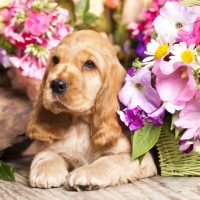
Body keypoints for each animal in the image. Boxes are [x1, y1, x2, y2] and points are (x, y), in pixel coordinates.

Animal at [25, 29, 156, 191]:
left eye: (89, 64)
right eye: (55, 60)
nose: (56, 84)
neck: (81, 123)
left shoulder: (140, 158)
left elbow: (109, 160)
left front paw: (86, 173)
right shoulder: (52, 146)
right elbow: (46, 154)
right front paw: (47, 171)